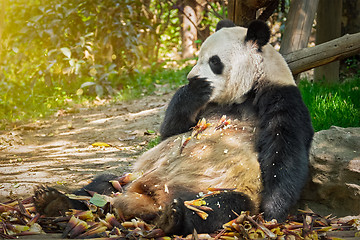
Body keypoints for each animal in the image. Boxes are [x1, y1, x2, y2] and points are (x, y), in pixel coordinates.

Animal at [35, 19, 314, 236]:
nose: (191, 77)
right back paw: (54, 200)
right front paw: (194, 89)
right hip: (128, 178)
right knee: (99, 185)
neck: (242, 94)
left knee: (219, 206)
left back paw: (174, 218)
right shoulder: (204, 107)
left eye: (214, 61)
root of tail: (147, 198)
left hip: (216, 188)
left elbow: (284, 149)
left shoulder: (281, 97)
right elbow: (171, 131)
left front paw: (273, 212)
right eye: (198, 57)